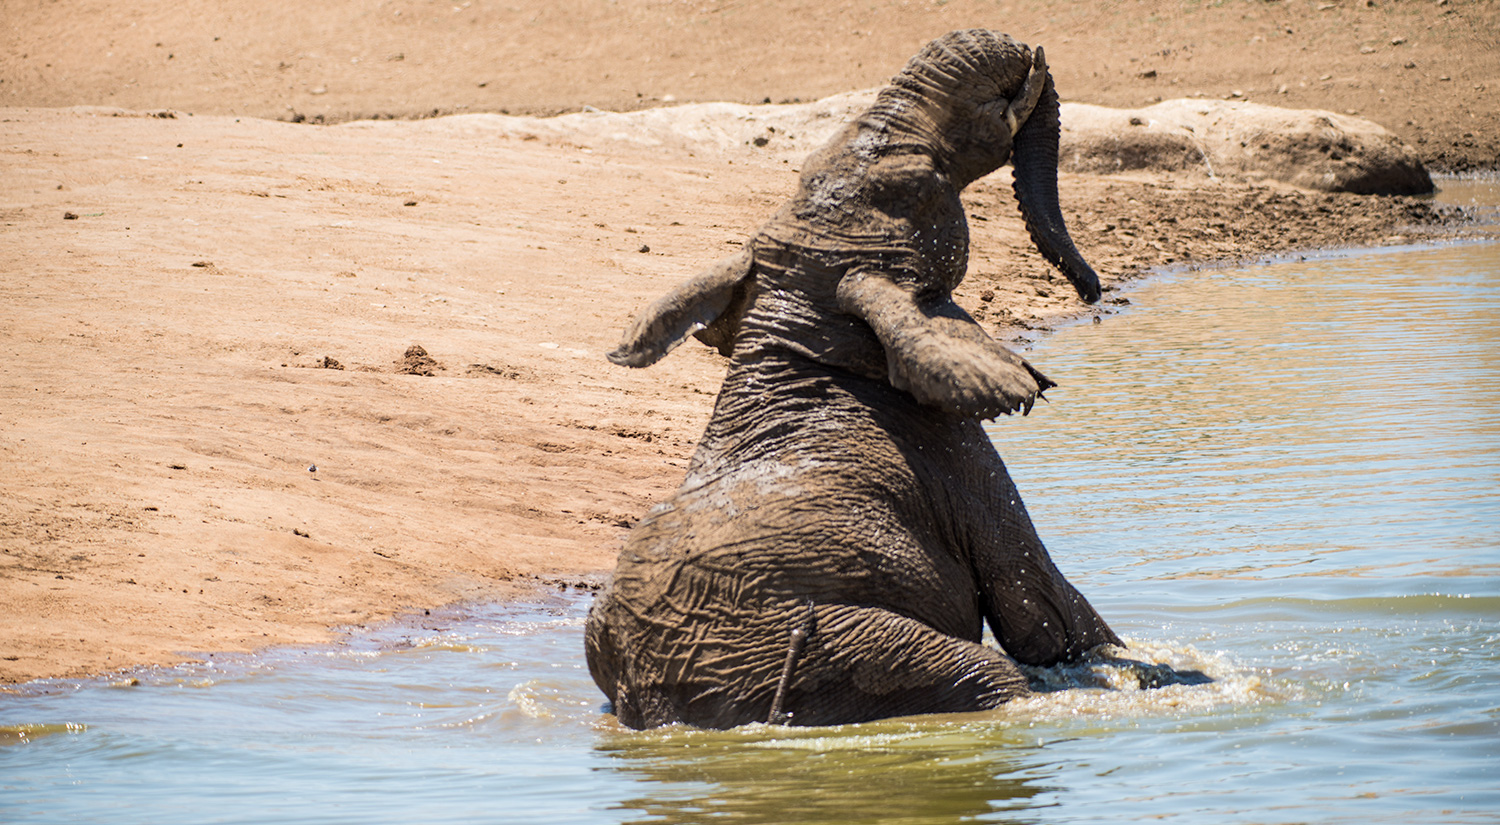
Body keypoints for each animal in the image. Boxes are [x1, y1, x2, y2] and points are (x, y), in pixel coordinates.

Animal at [584, 29, 1122, 730]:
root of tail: (646, 695)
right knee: (989, 674)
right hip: (834, 647)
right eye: (919, 182)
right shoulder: (953, 455)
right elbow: (1043, 615)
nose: (1093, 292)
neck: (807, 344)